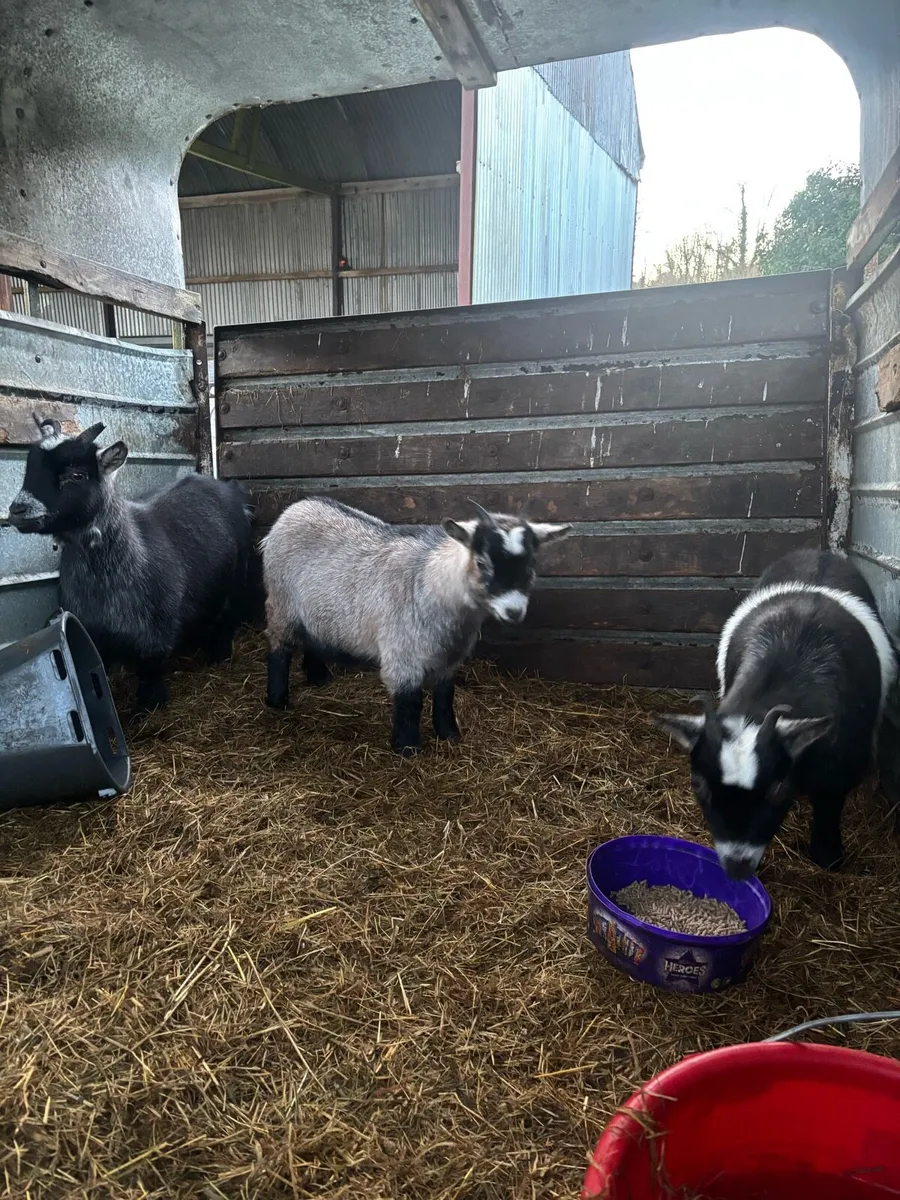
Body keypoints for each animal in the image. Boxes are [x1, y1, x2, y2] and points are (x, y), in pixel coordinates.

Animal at [7, 417, 253, 711]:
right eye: (29, 467)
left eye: (77, 475)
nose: (17, 510)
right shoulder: (93, 633)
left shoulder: (155, 637)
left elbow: (150, 678)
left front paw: (148, 710)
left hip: (236, 584)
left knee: (226, 622)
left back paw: (219, 657)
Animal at [262, 497, 572, 753]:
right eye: (483, 563)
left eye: (531, 564)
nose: (514, 611)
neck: (434, 582)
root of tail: (297, 507)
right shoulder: (403, 653)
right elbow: (410, 700)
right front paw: (408, 747)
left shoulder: (450, 657)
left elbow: (445, 695)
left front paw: (449, 734)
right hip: (281, 603)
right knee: (279, 647)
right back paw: (277, 699)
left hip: (315, 610)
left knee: (313, 637)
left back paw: (318, 677)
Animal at [653, 549, 897, 879]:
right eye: (698, 784)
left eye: (777, 788)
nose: (737, 867)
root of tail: (817, 552)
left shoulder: (843, 765)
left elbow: (830, 804)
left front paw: (828, 855)